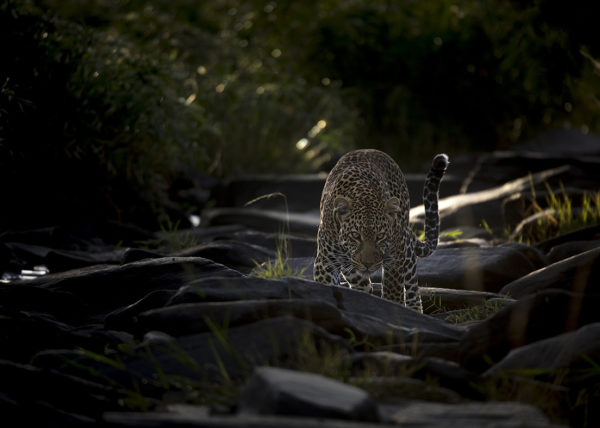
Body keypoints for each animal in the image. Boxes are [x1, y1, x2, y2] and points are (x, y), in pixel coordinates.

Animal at [312, 149, 448, 312]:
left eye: (380, 236)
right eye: (355, 235)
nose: (368, 264)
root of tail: (370, 150)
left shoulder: (395, 256)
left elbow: (393, 291)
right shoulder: (325, 263)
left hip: (405, 246)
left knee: (412, 284)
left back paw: (414, 309)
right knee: (364, 286)